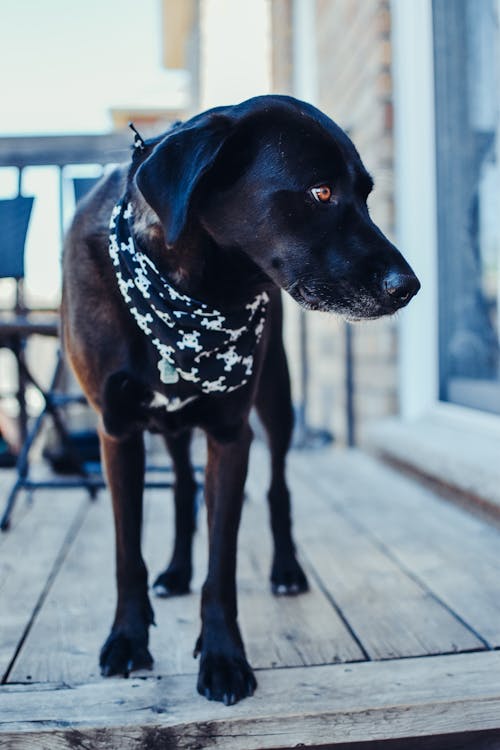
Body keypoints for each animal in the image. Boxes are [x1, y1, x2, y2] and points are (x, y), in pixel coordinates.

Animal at [63, 94, 422, 704]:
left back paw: (286, 570)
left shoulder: (233, 434)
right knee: (183, 489)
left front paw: (224, 658)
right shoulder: (117, 432)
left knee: (278, 488)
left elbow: (223, 563)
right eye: (320, 192)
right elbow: (127, 552)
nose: (409, 287)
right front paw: (128, 639)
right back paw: (176, 572)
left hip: (276, 401)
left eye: (367, 195)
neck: (188, 289)